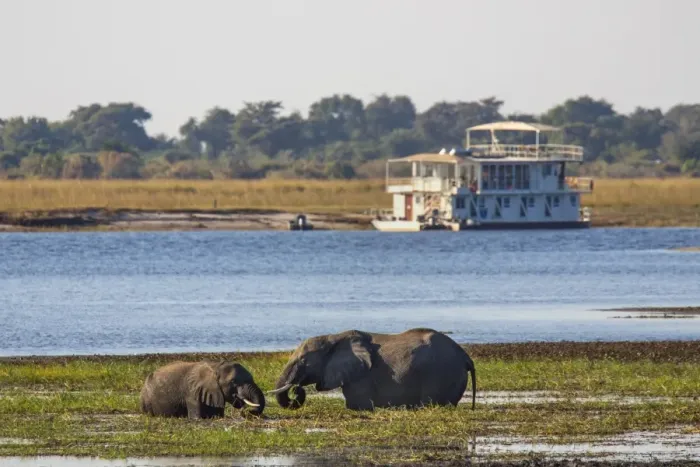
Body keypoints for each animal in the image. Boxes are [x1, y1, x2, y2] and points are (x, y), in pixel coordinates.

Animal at [269, 328, 476, 411]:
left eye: (303, 360)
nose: (296, 389)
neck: (333, 337)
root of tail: (465, 356)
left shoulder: (360, 377)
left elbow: (355, 405)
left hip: (441, 374)